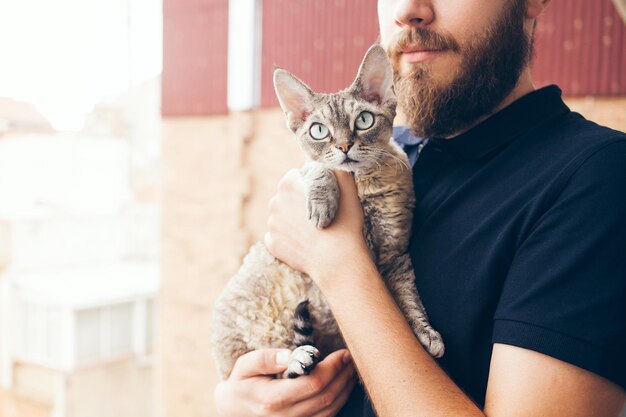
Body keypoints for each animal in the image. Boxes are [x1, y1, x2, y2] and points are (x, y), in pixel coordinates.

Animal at [212, 43, 442, 380]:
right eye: (319, 130)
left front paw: (423, 332)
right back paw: (297, 359)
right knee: (274, 368)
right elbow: (319, 169)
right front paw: (322, 203)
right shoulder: (301, 170)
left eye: (364, 120)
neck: (363, 184)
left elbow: (409, 297)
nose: (345, 146)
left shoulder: (395, 254)